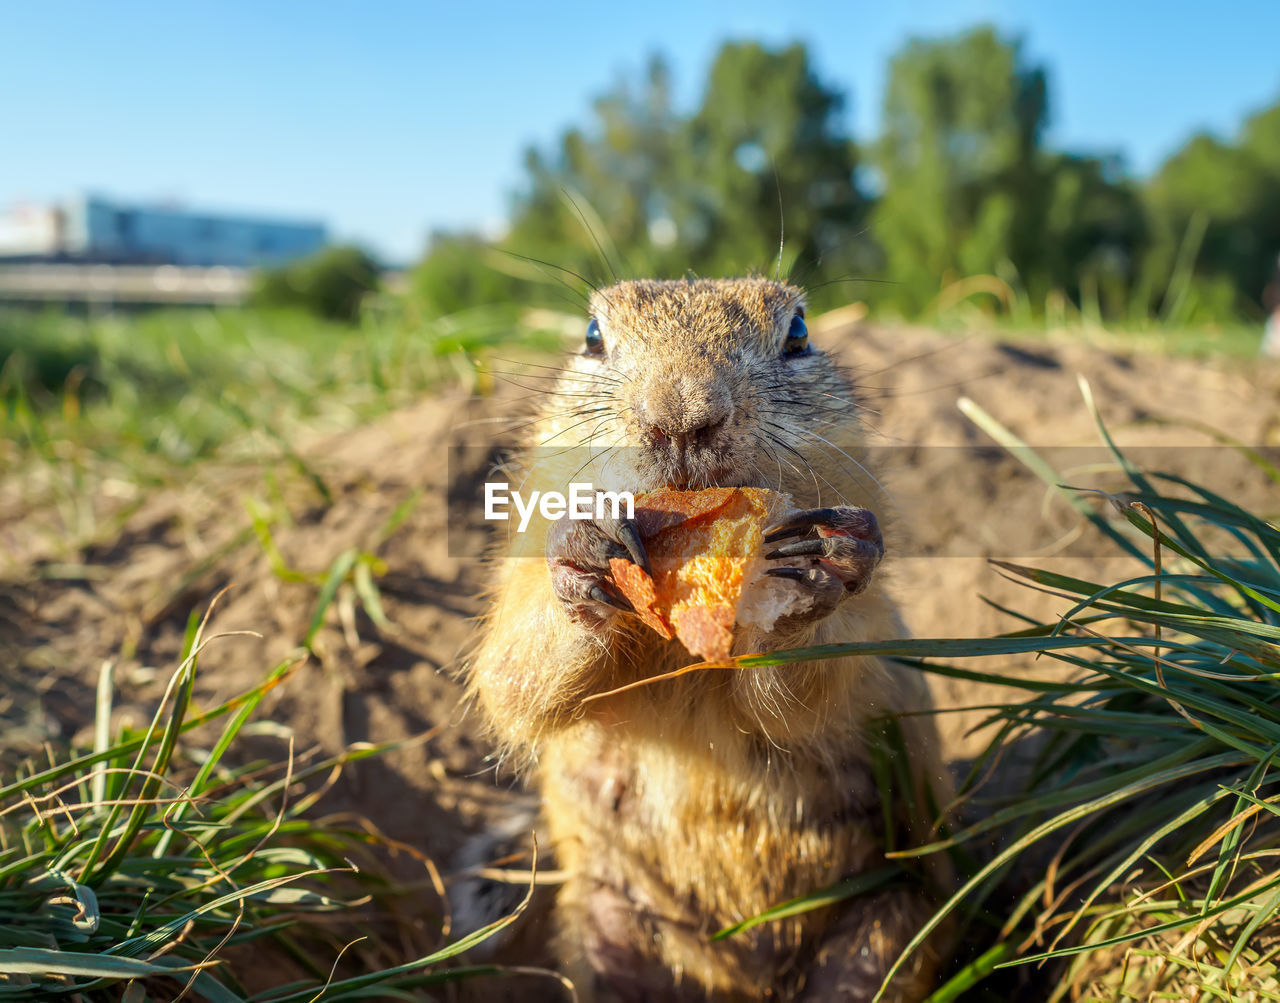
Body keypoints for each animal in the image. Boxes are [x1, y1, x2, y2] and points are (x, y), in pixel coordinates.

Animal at [468, 277, 952, 997]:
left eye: (799, 332)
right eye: (591, 336)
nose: (681, 417)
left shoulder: (874, 628)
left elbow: (822, 685)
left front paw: (815, 566)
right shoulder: (514, 571)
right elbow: (510, 675)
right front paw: (585, 550)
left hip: (889, 920)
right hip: (607, 925)